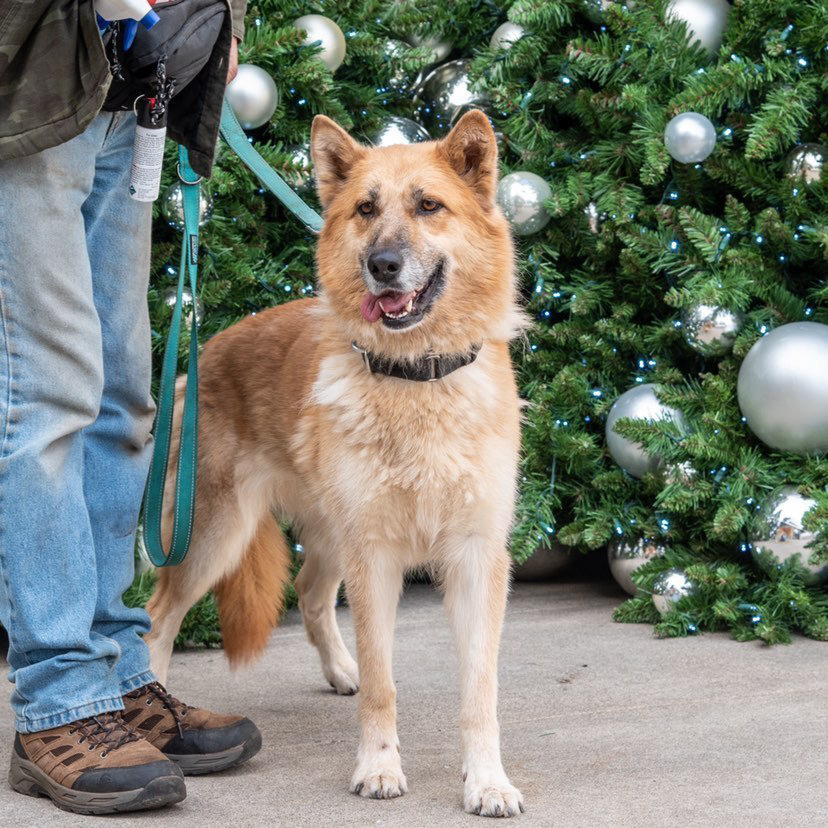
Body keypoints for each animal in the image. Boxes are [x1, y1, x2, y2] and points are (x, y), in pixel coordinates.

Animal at [145, 108, 524, 816]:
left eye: (429, 206)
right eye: (365, 210)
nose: (382, 265)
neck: (416, 376)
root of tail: (206, 350)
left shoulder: (474, 559)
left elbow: (478, 690)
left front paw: (487, 780)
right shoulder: (373, 556)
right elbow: (384, 683)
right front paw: (378, 767)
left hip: (324, 534)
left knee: (310, 593)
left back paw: (338, 670)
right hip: (215, 537)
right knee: (156, 622)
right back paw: (151, 715)